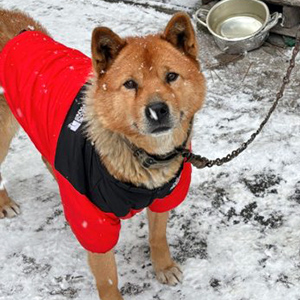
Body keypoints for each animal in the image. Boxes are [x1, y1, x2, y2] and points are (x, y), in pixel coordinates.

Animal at [0, 8, 205, 300]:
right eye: (130, 84)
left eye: (171, 77)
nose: (157, 110)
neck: (141, 155)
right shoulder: (93, 222)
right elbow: (107, 278)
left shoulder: (163, 196)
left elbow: (158, 236)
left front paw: (163, 266)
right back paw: (5, 202)